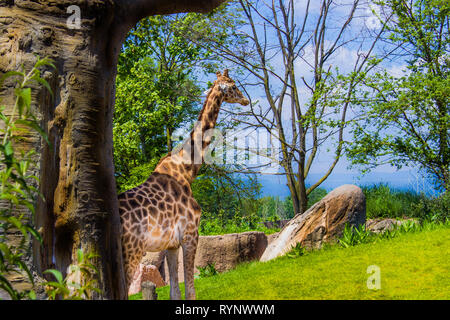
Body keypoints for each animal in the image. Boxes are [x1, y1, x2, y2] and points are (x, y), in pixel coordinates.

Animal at [118, 69, 250, 298]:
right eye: (233, 86)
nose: (246, 100)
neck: (187, 170)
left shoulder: (171, 244)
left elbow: (175, 291)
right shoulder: (190, 235)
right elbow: (190, 291)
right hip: (131, 252)